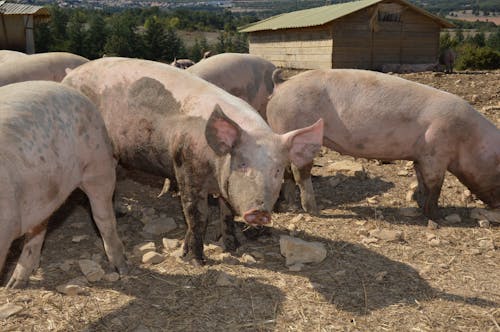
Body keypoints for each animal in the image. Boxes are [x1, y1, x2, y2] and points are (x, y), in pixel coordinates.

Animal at [0, 80, 127, 288]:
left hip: (98, 162)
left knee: (104, 217)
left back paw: (121, 268)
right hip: (44, 187)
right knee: (39, 227)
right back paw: (16, 283)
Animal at [62, 57, 324, 264]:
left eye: (277, 170)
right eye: (242, 164)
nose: (259, 212)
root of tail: (68, 77)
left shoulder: (223, 186)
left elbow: (226, 214)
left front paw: (232, 246)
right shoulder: (187, 168)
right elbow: (197, 216)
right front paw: (197, 260)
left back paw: (121, 214)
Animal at [270, 69, 500, 220]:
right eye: (499, 170)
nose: (498, 206)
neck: (468, 137)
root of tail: (282, 85)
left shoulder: (420, 155)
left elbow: (422, 180)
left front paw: (419, 205)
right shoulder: (435, 152)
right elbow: (436, 184)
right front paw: (437, 216)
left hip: (283, 131)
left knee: (287, 170)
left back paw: (288, 205)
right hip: (301, 130)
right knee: (300, 171)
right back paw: (314, 210)